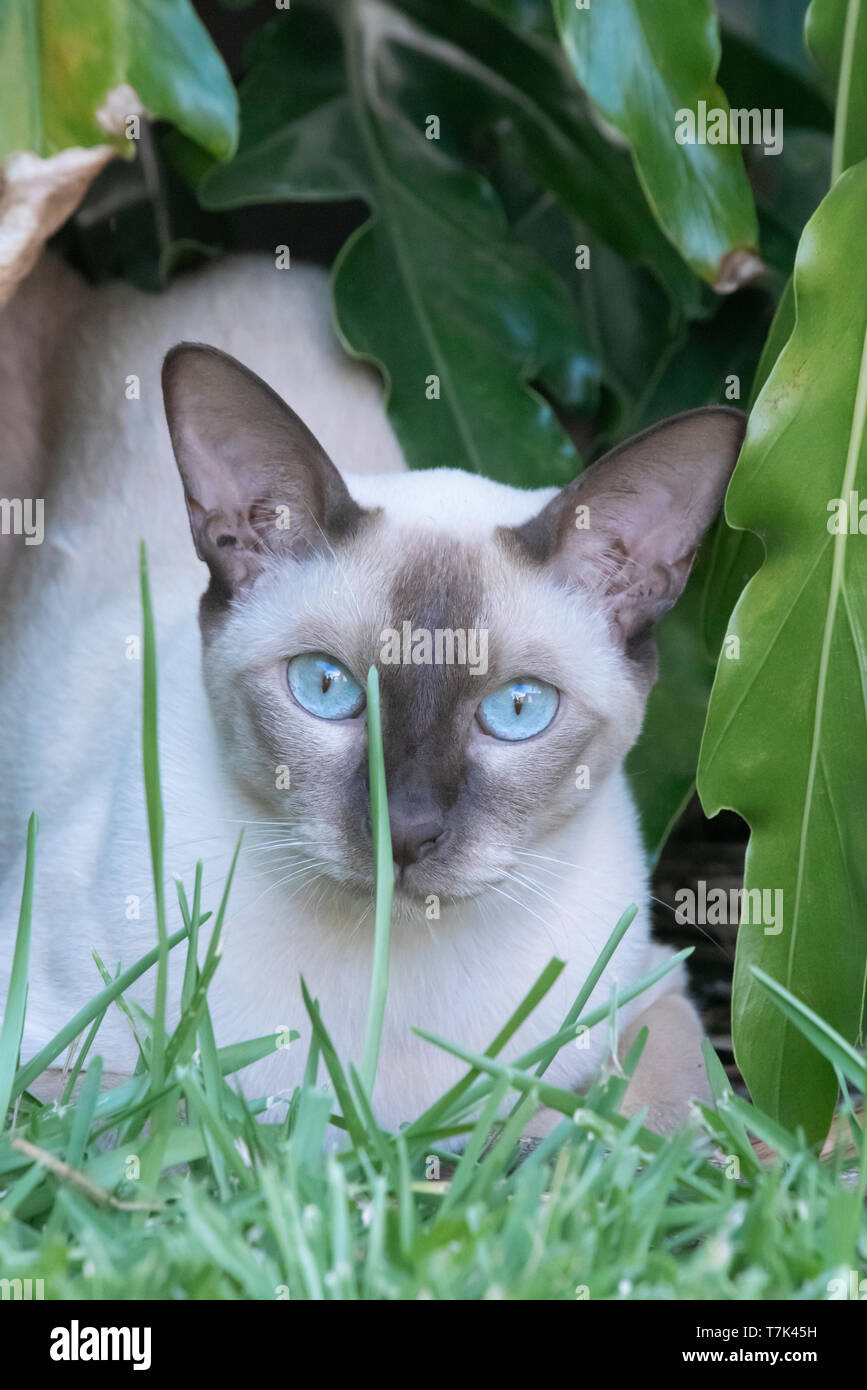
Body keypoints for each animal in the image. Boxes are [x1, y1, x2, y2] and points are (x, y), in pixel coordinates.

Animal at [0, 255, 744, 1134]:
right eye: (325, 688)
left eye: (516, 709)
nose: (407, 831)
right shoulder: (52, 1067)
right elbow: (196, 1115)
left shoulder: (654, 992)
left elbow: (645, 1124)